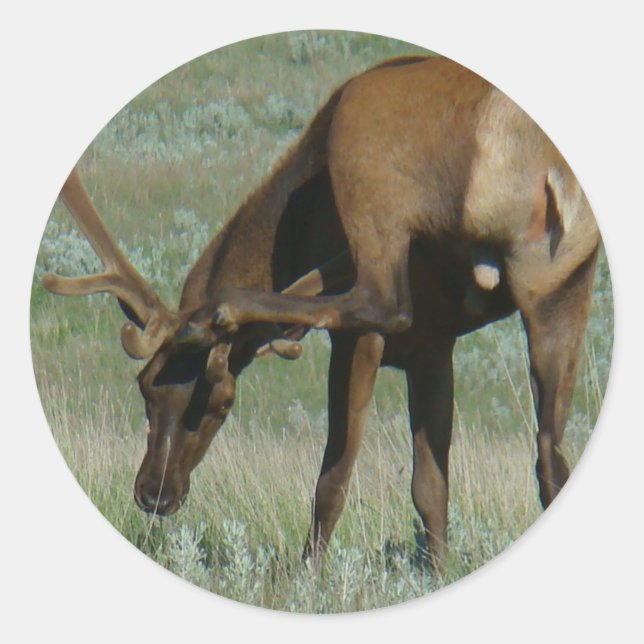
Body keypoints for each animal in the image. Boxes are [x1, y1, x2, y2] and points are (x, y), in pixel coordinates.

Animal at [42, 55, 600, 573]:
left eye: (222, 403)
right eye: (145, 386)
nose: (155, 493)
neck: (304, 230)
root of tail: (546, 170)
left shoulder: (368, 341)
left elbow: (334, 478)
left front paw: (307, 576)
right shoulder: (434, 346)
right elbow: (431, 488)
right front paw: (439, 572)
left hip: (365, 142)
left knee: (382, 300)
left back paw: (224, 309)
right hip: (563, 281)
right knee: (551, 457)